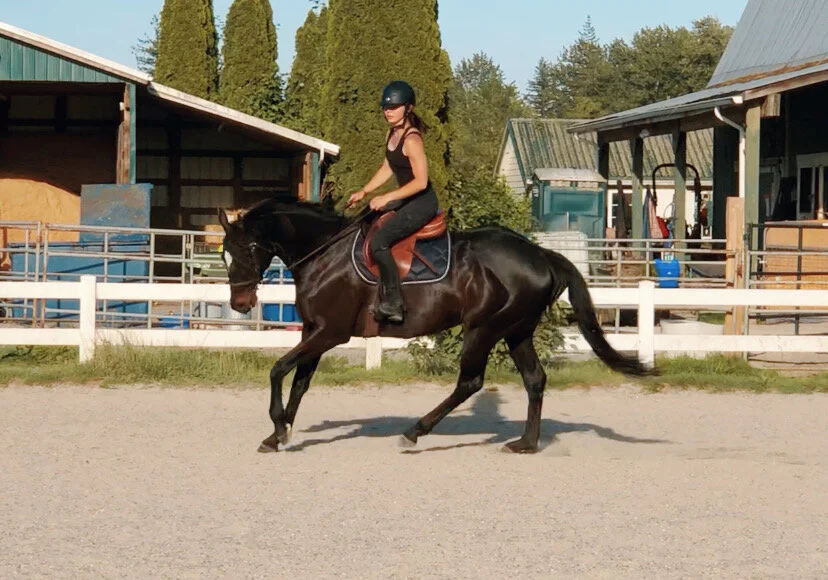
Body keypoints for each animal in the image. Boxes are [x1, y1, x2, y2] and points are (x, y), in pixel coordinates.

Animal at [218, 199, 650, 454]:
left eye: (248, 249)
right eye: (224, 254)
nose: (240, 304)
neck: (326, 253)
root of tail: (541, 254)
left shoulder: (330, 333)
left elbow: (278, 370)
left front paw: (277, 426)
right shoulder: (313, 331)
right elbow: (300, 381)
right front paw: (279, 434)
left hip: (483, 329)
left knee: (470, 382)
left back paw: (415, 432)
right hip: (516, 331)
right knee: (535, 379)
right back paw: (525, 443)